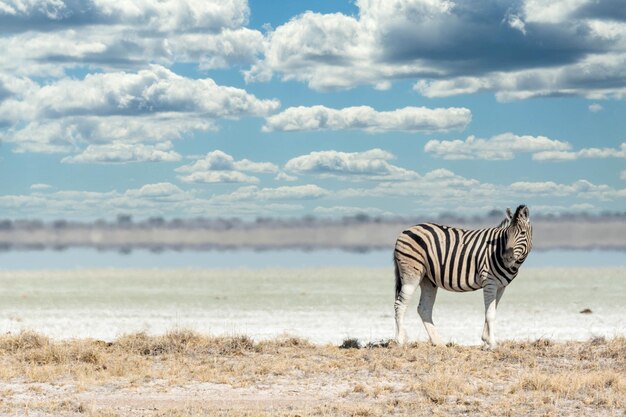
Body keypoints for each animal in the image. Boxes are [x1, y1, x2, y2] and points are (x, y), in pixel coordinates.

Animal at [392, 204, 528, 348]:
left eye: (523, 233)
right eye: (507, 235)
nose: (507, 257)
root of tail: (405, 230)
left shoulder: (501, 286)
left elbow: (491, 311)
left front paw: (486, 340)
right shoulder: (489, 282)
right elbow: (490, 313)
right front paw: (491, 343)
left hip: (427, 279)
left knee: (424, 308)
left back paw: (438, 342)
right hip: (411, 274)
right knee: (399, 304)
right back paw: (400, 341)